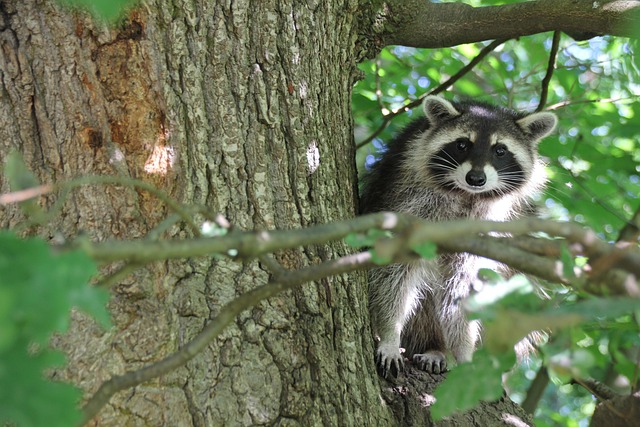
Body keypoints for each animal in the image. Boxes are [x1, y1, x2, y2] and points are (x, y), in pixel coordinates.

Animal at [359, 96, 557, 377]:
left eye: (500, 150)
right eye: (462, 144)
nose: (476, 178)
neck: (466, 195)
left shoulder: (479, 229)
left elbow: (461, 285)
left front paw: (464, 350)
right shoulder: (404, 200)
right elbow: (392, 274)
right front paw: (389, 334)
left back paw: (437, 347)